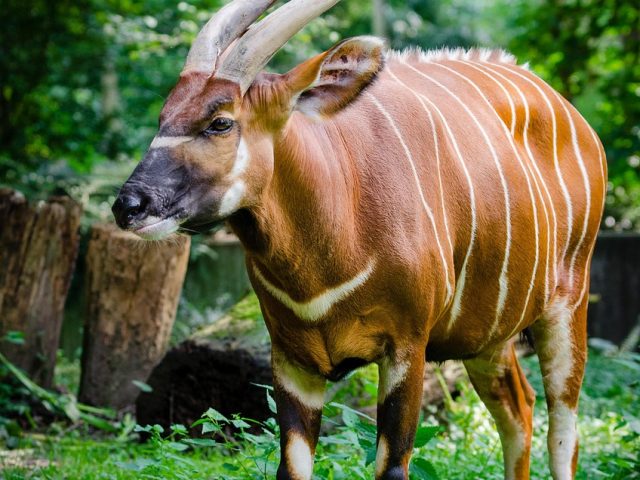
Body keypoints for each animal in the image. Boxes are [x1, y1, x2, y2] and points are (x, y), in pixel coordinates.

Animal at [112, 1, 608, 478]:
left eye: (219, 121)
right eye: (163, 117)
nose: (128, 205)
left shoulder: (406, 349)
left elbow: (392, 466)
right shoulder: (292, 360)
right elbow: (292, 469)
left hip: (568, 303)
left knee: (563, 431)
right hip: (488, 337)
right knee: (518, 410)